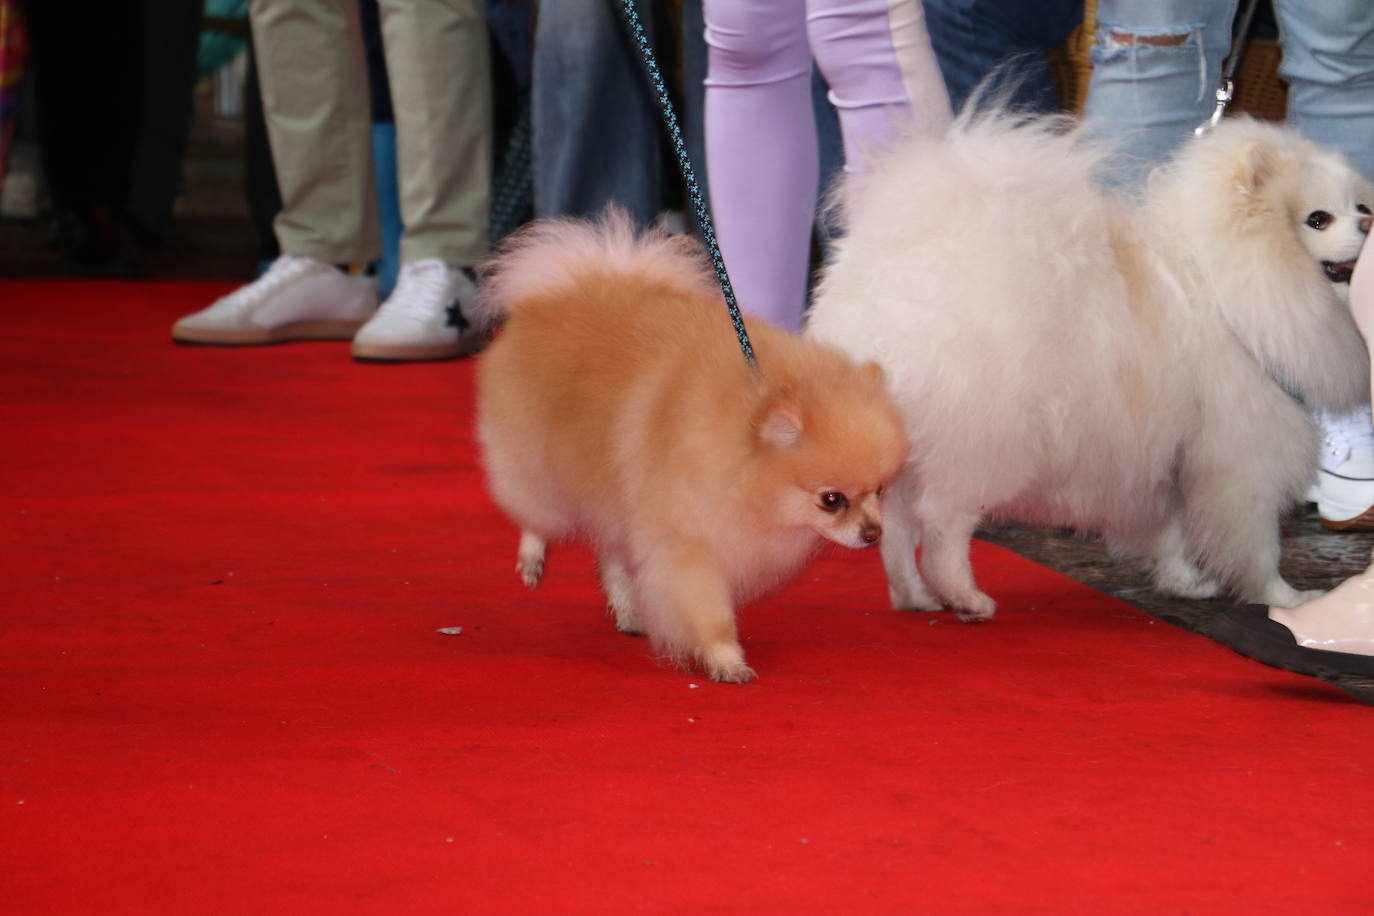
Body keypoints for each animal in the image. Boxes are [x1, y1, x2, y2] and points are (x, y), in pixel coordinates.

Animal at [475, 207, 912, 681]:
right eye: (831, 499)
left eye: (880, 490)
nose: (873, 533)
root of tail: (566, 286)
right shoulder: (686, 543)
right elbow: (708, 613)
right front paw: (726, 660)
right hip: (540, 472)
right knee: (535, 515)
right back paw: (533, 560)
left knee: (611, 556)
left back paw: (628, 612)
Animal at [802, 111, 1374, 620]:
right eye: (1318, 219)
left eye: (1362, 204)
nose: (1369, 222)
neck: (1232, 287)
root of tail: (885, 274)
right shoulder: (1242, 458)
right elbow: (1257, 545)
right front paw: (1286, 601)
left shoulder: (1162, 456)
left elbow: (1169, 530)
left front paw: (1185, 583)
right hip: (986, 445)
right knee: (943, 527)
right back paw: (965, 598)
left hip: (902, 453)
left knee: (896, 531)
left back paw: (913, 597)